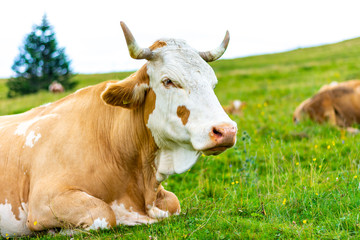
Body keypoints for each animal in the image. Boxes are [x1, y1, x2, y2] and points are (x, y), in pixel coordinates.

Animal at [0, 21, 238, 236]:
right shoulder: (43, 202)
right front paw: (58, 231)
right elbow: (104, 214)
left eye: (213, 82)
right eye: (168, 81)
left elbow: (174, 202)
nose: (226, 131)